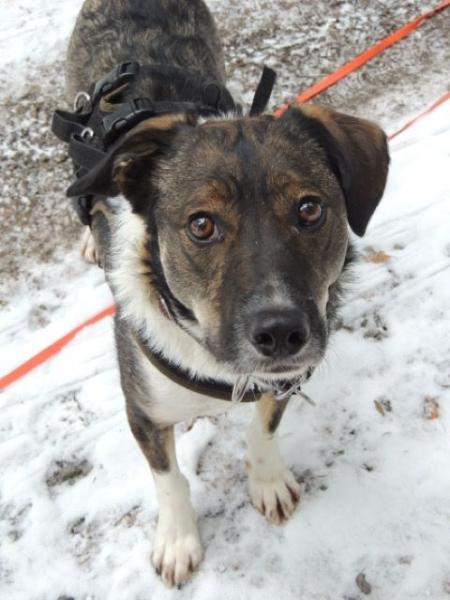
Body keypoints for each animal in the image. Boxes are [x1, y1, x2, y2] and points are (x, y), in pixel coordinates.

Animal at [64, 0, 389, 587]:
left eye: (310, 208)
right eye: (201, 225)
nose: (281, 334)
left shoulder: (285, 380)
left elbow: (264, 428)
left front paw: (268, 481)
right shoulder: (142, 409)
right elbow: (168, 478)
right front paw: (177, 541)